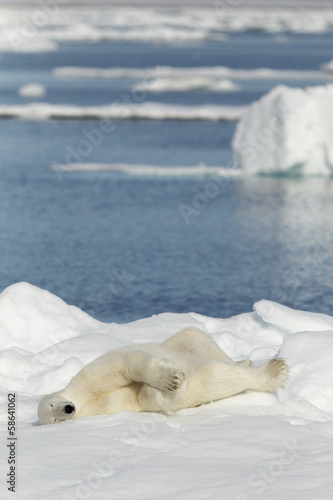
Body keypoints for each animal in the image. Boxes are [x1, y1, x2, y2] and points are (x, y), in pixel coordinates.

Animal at [37, 330, 286, 424]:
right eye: (54, 420)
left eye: (51, 404)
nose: (68, 409)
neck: (85, 402)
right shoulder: (111, 406)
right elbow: (145, 396)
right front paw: (171, 388)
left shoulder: (88, 380)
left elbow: (125, 366)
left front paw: (171, 380)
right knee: (211, 374)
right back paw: (272, 371)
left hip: (178, 341)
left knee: (199, 339)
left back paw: (250, 363)